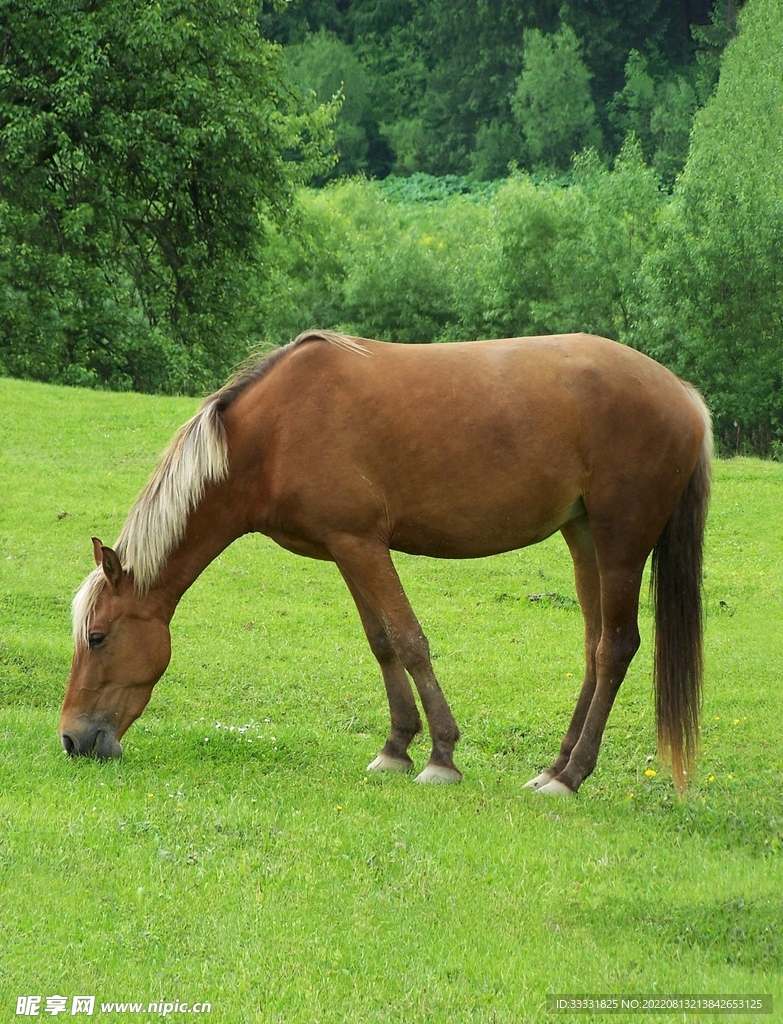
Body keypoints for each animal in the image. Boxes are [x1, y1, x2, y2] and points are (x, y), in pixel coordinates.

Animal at [61, 330, 711, 794]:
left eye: (97, 638)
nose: (71, 739)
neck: (274, 431)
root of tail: (684, 394)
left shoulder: (363, 544)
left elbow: (410, 640)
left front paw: (442, 756)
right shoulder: (347, 547)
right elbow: (382, 643)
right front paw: (396, 747)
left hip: (621, 540)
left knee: (616, 646)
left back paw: (571, 777)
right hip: (584, 537)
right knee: (595, 647)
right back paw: (556, 767)